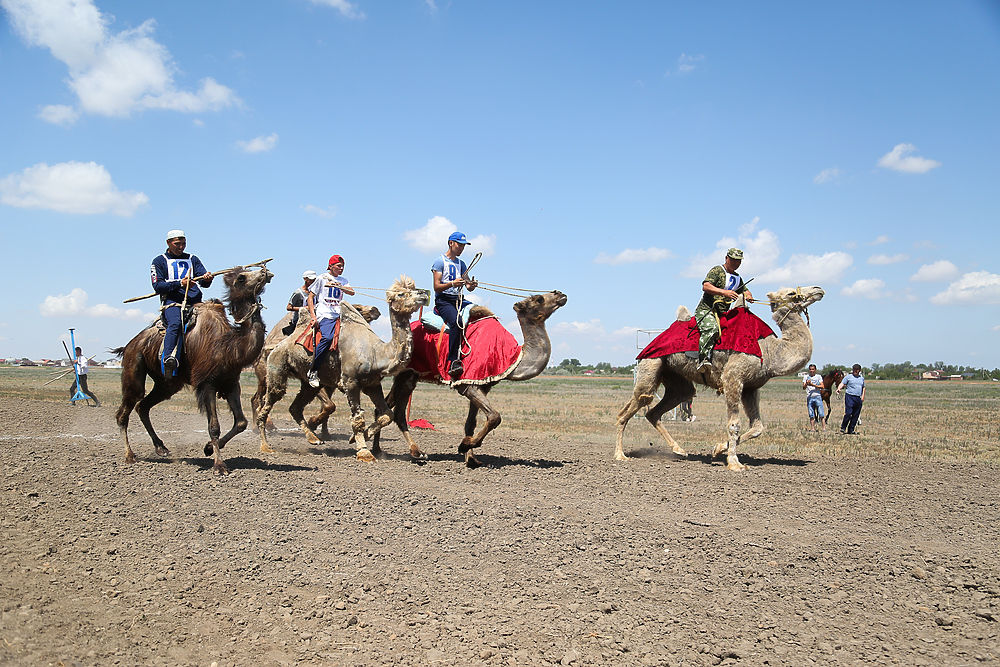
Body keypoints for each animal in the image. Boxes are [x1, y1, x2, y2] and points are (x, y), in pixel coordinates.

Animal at [113, 266, 274, 474]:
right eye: (241, 277)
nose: (265, 272)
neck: (229, 346)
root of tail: (129, 345)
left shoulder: (230, 383)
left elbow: (241, 422)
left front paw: (208, 448)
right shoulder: (207, 383)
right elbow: (214, 426)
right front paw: (219, 465)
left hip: (168, 383)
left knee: (143, 406)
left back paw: (161, 447)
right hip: (134, 365)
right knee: (126, 410)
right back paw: (130, 455)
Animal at [252, 302, 380, 438]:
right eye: (359, 308)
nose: (375, 310)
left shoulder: (330, 384)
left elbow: (327, 406)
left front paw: (324, 432)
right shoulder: (317, 380)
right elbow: (329, 405)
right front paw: (313, 423)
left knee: (259, 398)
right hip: (266, 375)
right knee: (260, 398)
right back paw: (260, 427)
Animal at [612, 286, 824, 470]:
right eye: (791, 293)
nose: (818, 289)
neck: (771, 350)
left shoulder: (751, 387)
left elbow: (757, 428)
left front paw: (717, 449)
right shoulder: (733, 378)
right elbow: (734, 425)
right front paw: (735, 463)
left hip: (675, 378)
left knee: (661, 407)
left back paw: (679, 450)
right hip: (651, 363)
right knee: (631, 407)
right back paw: (620, 455)